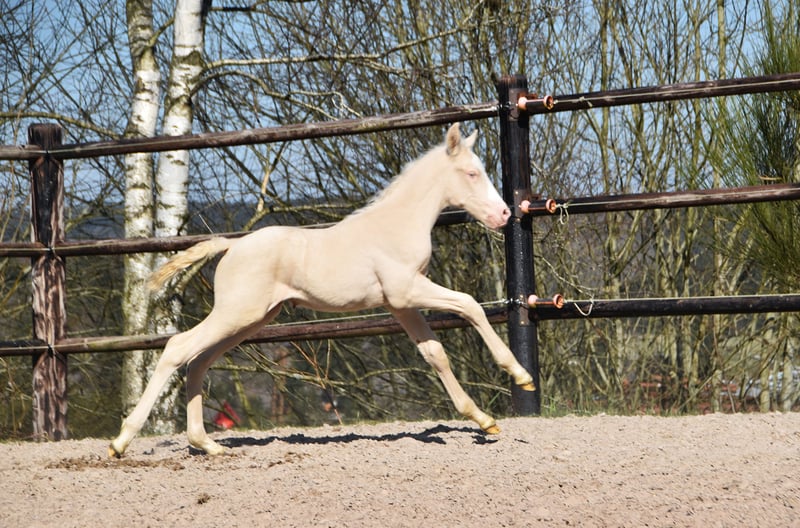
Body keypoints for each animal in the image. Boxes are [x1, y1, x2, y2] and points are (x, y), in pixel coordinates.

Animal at [109, 123, 535, 457]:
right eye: (472, 173)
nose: (503, 214)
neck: (397, 223)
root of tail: (229, 247)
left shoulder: (401, 305)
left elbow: (435, 354)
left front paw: (484, 420)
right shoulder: (408, 291)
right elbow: (470, 305)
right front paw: (520, 374)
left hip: (252, 320)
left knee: (197, 362)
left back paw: (207, 444)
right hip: (237, 314)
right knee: (177, 348)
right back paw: (121, 441)